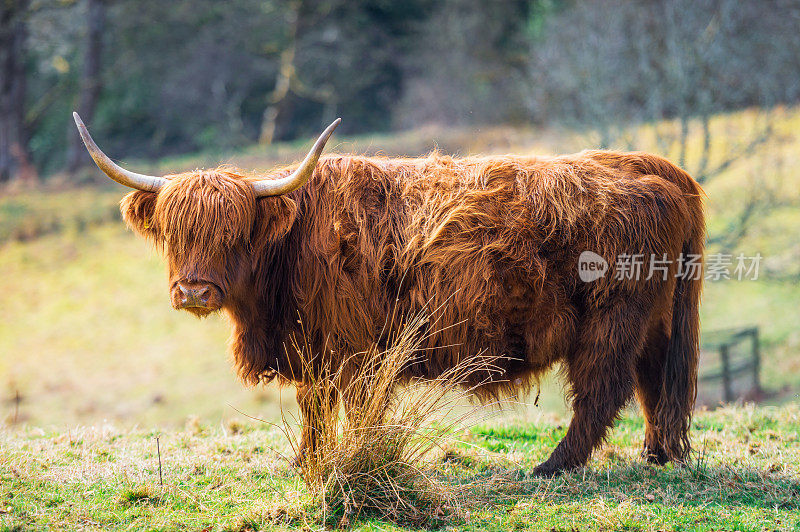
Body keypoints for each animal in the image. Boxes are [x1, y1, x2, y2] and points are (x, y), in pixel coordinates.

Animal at [73, 113, 700, 478]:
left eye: (234, 233)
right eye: (176, 233)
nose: (195, 291)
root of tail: (654, 166)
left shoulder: (350, 350)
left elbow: (348, 410)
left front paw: (340, 462)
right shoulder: (314, 350)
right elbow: (314, 408)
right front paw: (308, 463)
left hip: (612, 317)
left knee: (603, 390)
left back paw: (551, 467)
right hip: (656, 317)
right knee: (654, 379)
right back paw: (658, 454)